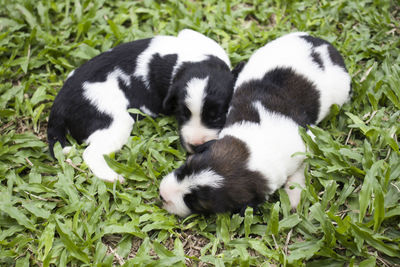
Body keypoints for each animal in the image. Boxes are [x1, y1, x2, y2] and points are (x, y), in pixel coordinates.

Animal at [49, 29, 238, 184]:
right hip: (114, 122)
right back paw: (112, 178)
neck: (195, 61)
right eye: (183, 114)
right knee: (91, 153)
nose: (196, 146)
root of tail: (59, 105)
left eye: (216, 117)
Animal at [159, 31, 350, 218]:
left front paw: (294, 196)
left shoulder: (306, 142)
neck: (261, 142)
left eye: (194, 202)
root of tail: (323, 44)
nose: (162, 195)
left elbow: (301, 167)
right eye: (184, 168)